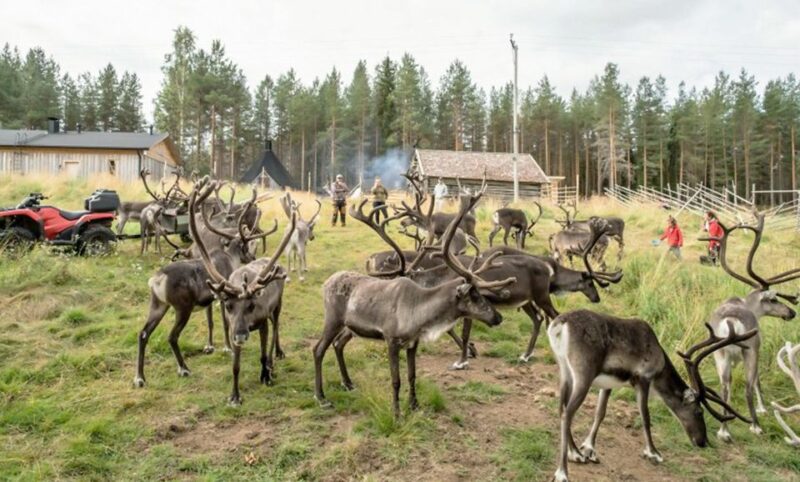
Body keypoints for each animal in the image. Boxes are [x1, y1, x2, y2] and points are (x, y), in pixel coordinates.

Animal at [133, 180, 275, 388]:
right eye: (244, 246)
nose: (252, 257)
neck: (229, 258)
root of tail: (157, 279)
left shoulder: (209, 299)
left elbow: (210, 321)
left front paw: (210, 346)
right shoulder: (224, 297)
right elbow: (225, 323)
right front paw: (227, 348)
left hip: (158, 305)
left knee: (143, 334)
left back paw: (140, 377)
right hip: (182, 308)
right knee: (172, 336)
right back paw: (183, 369)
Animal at [190, 180, 296, 406]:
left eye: (251, 305)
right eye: (229, 306)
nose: (240, 335)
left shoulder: (262, 322)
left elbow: (263, 354)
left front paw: (266, 375)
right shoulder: (232, 326)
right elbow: (235, 366)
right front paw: (235, 396)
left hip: (278, 306)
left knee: (276, 328)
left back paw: (276, 356)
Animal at [312, 187, 516, 417]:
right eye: (473, 296)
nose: (498, 316)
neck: (418, 312)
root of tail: (326, 282)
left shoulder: (412, 343)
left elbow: (412, 375)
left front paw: (414, 405)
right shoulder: (391, 340)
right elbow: (396, 380)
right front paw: (397, 413)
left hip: (350, 326)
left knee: (338, 344)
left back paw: (347, 383)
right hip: (332, 319)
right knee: (318, 349)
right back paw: (321, 397)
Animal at [549, 310, 757, 482]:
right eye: (699, 412)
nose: (703, 442)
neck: (660, 362)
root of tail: (560, 324)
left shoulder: (608, 383)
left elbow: (600, 413)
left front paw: (589, 449)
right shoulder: (644, 379)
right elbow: (645, 417)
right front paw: (653, 453)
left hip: (565, 371)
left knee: (561, 409)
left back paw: (575, 454)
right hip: (584, 374)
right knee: (567, 413)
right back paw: (562, 472)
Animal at [698, 213, 799, 442]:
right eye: (773, 300)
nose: (791, 312)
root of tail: (731, 321)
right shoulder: (757, 346)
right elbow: (757, 381)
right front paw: (762, 409)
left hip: (720, 353)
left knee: (725, 385)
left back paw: (724, 431)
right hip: (749, 349)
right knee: (748, 386)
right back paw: (756, 426)